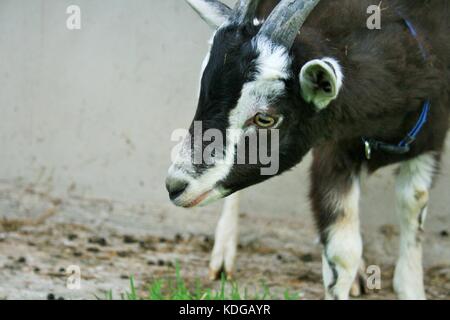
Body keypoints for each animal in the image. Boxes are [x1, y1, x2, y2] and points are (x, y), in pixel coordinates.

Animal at [166, 0, 450, 300]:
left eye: (264, 118)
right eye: (203, 93)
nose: (175, 186)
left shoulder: (431, 138)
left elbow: (413, 202)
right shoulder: (334, 150)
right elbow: (343, 252)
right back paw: (223, 256)